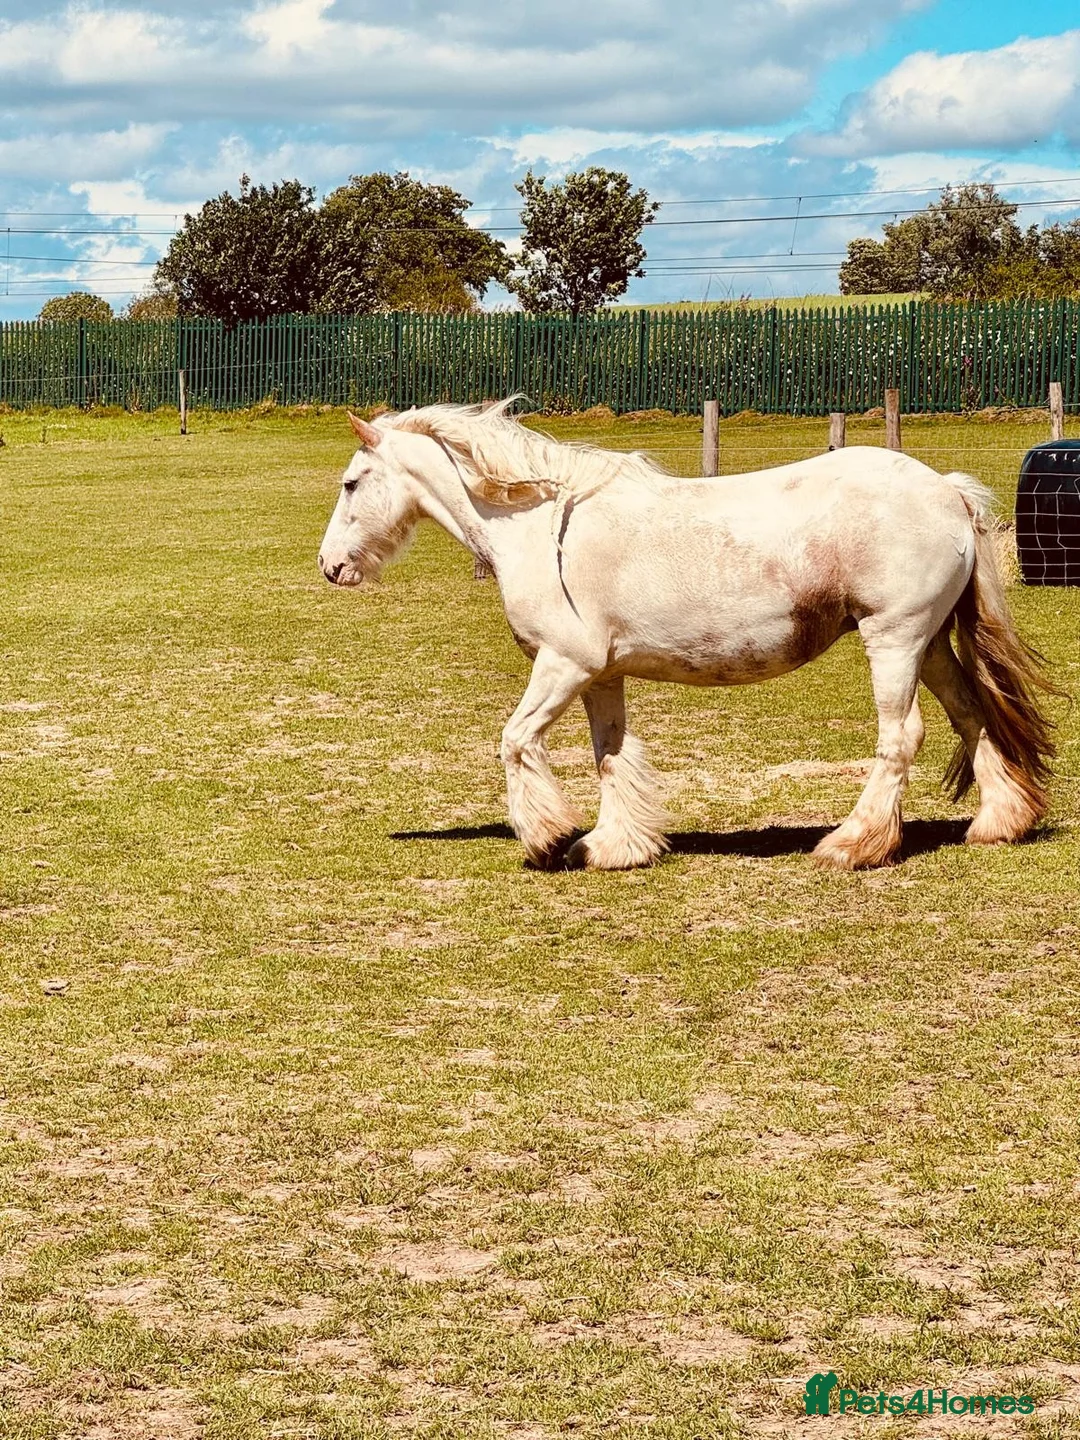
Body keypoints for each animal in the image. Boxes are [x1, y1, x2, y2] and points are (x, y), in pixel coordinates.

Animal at [318, 399, 1058, 871]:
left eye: (352, 483)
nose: (330, 566)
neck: (535, 525)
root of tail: (947, 491)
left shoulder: (563, 665)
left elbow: (516, 741)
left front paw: (547, 839)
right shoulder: (601, 676)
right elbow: (610, 756)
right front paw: (613, 847)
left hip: (895, 642)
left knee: (901, 739)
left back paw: (853, 844)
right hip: (930, 646)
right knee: (973, 715)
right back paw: (998, 824)